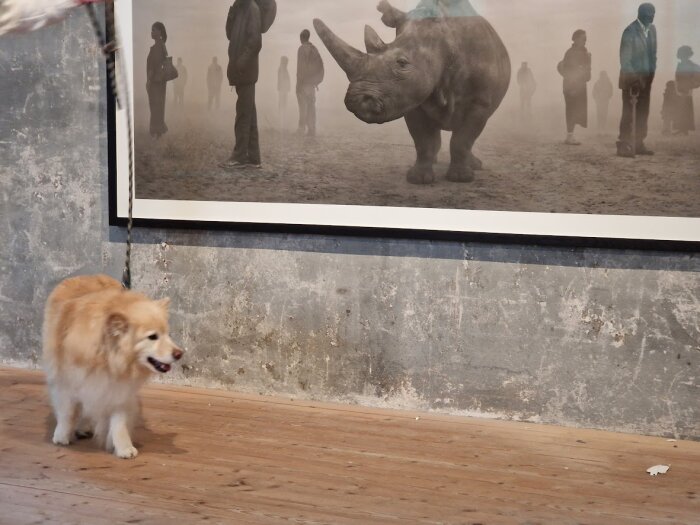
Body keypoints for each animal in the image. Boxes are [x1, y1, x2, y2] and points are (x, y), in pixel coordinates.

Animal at [40, 274, 183, 458]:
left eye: (167, 334)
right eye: (152, 337)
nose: (179, 354)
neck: (106, 358)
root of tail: (88, 275)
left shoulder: (118, 390)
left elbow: (119, 422)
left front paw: (124, 447)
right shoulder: (66, 382)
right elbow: (68, 412)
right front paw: (62, 436)